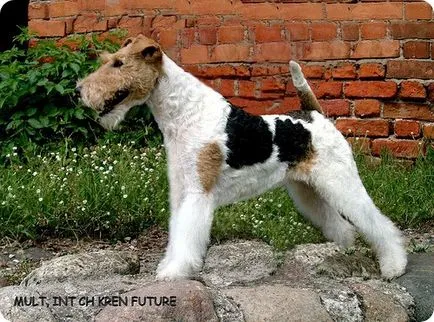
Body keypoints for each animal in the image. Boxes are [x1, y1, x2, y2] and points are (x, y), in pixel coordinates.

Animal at [77, 34, 406, 280]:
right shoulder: (181, 189)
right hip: (308, 189)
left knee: (377, 222)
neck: (184, 113)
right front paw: (168, 265)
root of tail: (314, 115)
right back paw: (344, 249)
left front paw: (174, 271)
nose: (79, 90)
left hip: (340, 181)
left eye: (119, 63)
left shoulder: (197, 193)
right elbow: (176, 231)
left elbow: (186, 236)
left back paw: (394, 265)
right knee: (341, 223)